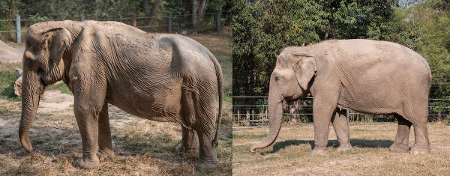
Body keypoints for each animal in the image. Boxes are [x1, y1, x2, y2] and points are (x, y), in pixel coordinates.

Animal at [18, 20, 223, 169]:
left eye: (30, 62)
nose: (33, 151)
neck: (69, 25)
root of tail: (210, 55)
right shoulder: (99, 71)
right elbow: (100, 110)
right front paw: (104, 157)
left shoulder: (91, 64)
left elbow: (85, 108)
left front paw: (83, 166)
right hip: (193, 84)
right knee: (190, 119)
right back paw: (182, 153)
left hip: (201, 83)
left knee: (202, 122)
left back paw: (205, 167)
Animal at [251, 39, 430, 155]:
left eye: (276, 78)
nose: (252, 150)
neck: (308, 50)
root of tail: (427, 66)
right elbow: (337, 113)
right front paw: (343, 151)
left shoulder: (327, 77)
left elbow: (323, 108)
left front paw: (318, 154)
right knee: (403, 118)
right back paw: (396, 150)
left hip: (416, 88)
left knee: (417, 118)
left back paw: (418, 153)